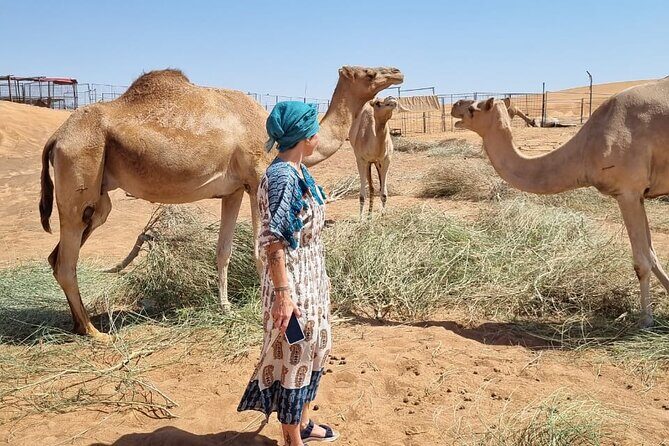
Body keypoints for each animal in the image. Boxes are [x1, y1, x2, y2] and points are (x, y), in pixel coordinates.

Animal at [39, 66, 404, 338]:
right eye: (369, 73)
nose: (397, 72)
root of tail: (56, 136)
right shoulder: (257, 178)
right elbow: (260, 249)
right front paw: (263, 309)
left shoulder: (233, 190)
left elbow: (223, 251)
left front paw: (225, 306)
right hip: (80, 170)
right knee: (67, 261)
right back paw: (94, 331)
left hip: (97, 199)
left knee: (58, 254)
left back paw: (78, 323)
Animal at [451, 77, 669, 328]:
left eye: (473, 109)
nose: (454, 105)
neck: (586, 149)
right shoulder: (640, 194)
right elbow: (653, 255)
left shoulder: (628, 191)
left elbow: (642, 261)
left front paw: (646, 321)